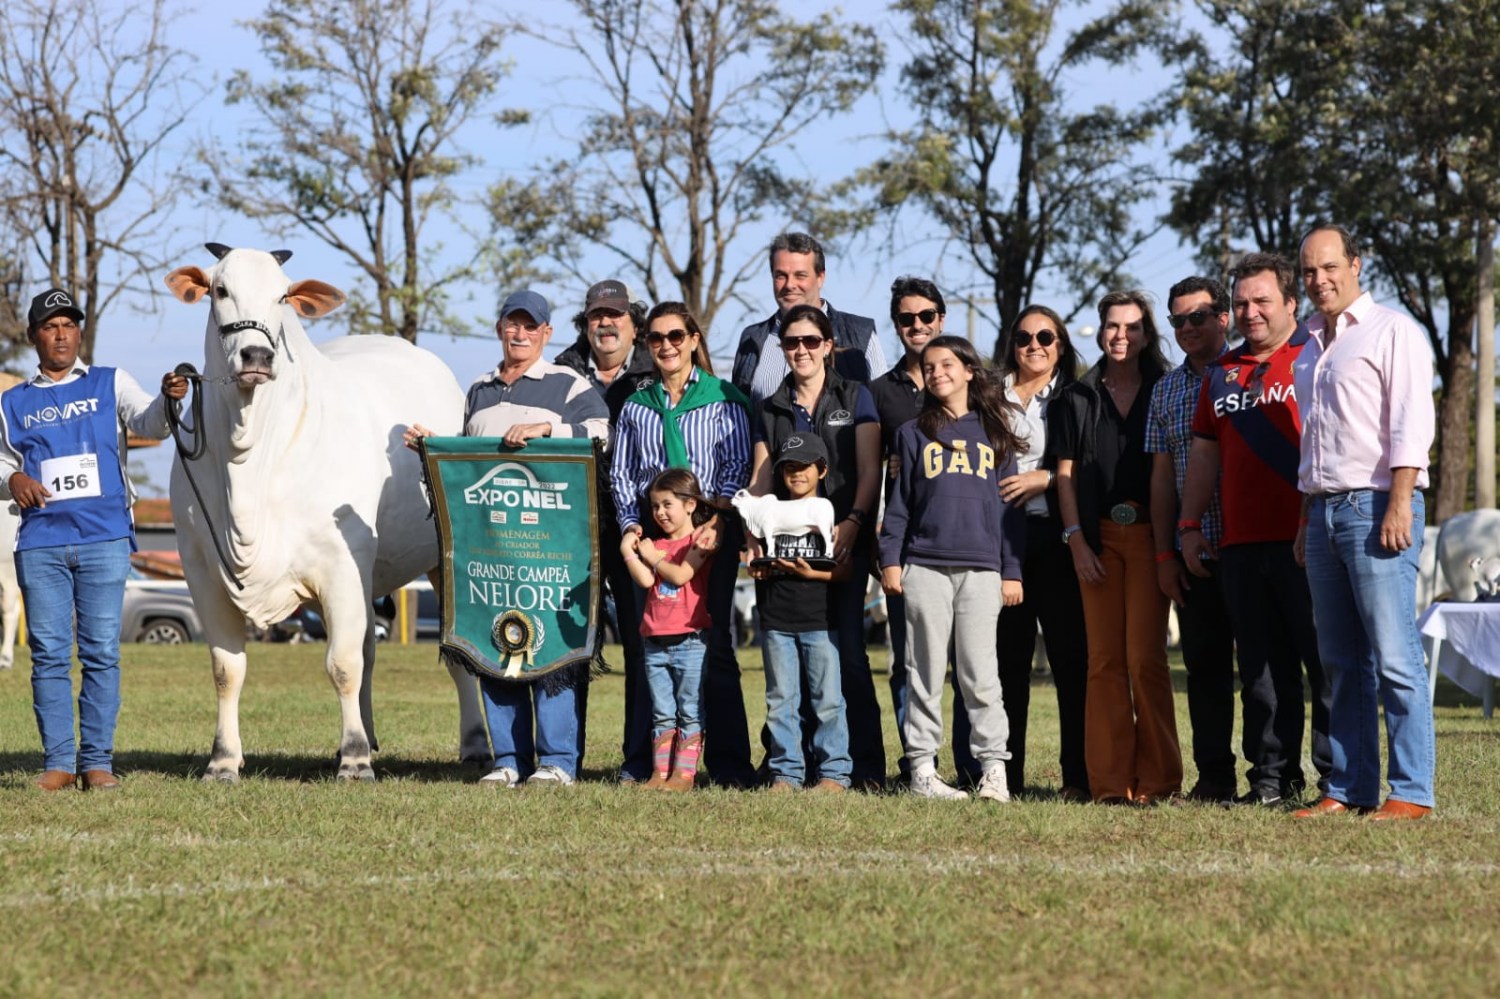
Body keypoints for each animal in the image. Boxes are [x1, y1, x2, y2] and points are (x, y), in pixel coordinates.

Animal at [169, 243, 486, 780]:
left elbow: (341, 664)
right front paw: (224, 759)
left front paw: (355, 758)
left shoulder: (341, 564)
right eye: (220, 289)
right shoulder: (202, 572)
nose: (257, 356)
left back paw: (476, 743)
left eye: (283, 296)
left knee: (453, 654)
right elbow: (227, 669)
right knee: (370, 648)